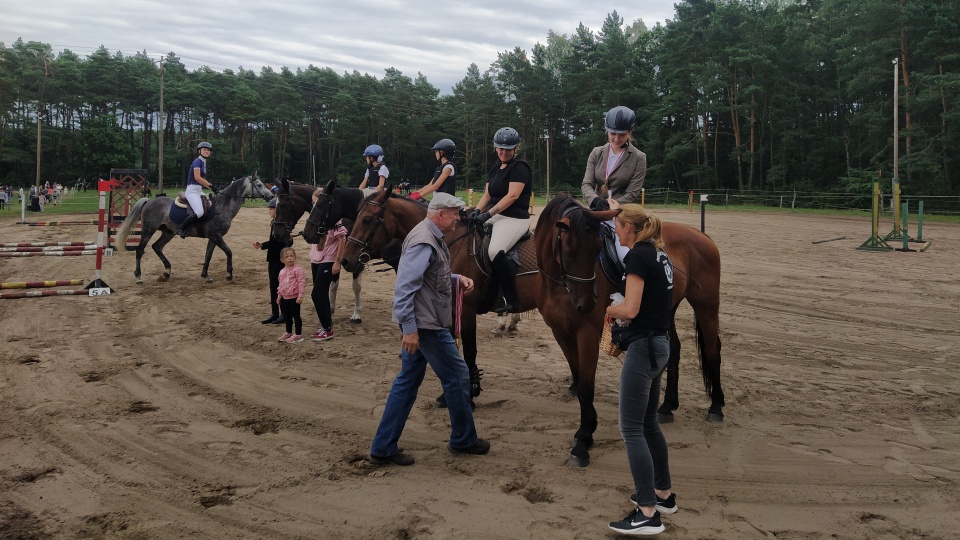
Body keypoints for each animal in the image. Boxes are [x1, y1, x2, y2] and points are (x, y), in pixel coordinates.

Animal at [116, 174, 276, 284]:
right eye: (260, 184)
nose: (271, 196)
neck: (221, 207)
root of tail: (149, 201)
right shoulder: (216, 236)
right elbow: (229, 252)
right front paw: (229, 274)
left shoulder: (213, 237)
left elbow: (208, 255)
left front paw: (205, 275)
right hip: (148, 230)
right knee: (140, 250)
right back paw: (138, 276)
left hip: (168, 233)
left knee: (157, 247)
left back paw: (167, 272)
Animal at [340, 186, 540, 400]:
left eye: (367, 219)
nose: (345, 260)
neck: (452, 242)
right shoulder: (450, 308)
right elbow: (451, 349)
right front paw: (451, 393)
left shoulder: (466, 310)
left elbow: (469, 351)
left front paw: (471, 392)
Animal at [536, 195, 724, 468]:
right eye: (569, 252)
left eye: (596, 249)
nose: (586, 304)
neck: (561, 287)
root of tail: (700, 234)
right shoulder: (561, 333)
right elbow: (578, 378)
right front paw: (585, 433)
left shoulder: (587, 333)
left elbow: (586, 386)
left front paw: (583, 442)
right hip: (665, 310)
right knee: (674, 350)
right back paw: (667, 406)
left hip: (706, 306)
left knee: (712, 352)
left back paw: (716, 407)